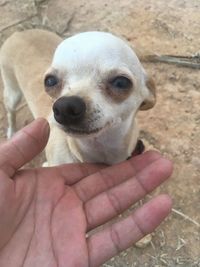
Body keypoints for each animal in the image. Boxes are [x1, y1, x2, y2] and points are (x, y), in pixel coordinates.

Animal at [0, 30, 156, 166]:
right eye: (50, 81)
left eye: (121, 82)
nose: (65, 106)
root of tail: (19, 33)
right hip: (13, 94)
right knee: (10, 112)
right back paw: (12, 132)